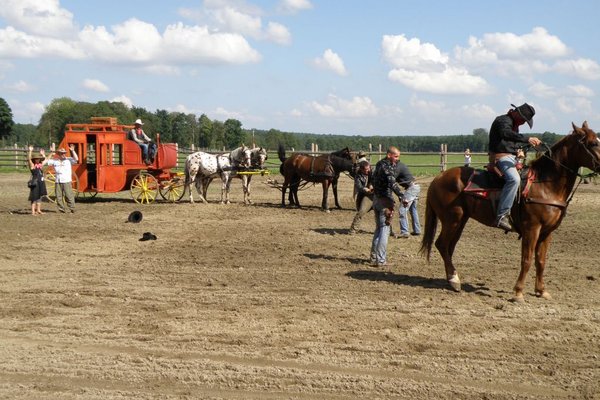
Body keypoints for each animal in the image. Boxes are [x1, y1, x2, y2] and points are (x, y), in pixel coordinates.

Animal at [422, 122, 600, 300]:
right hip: (452, 219)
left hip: (461, 221)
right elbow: (526, 259)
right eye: (593, 143)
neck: (544, 184)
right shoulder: (531, 229)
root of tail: (438, 178)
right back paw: (454, 280)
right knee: (442, 245)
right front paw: (518, 292)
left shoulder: (547, 232)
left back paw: (452, 279)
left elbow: (541, 261)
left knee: (449, 247)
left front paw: (541, 290)